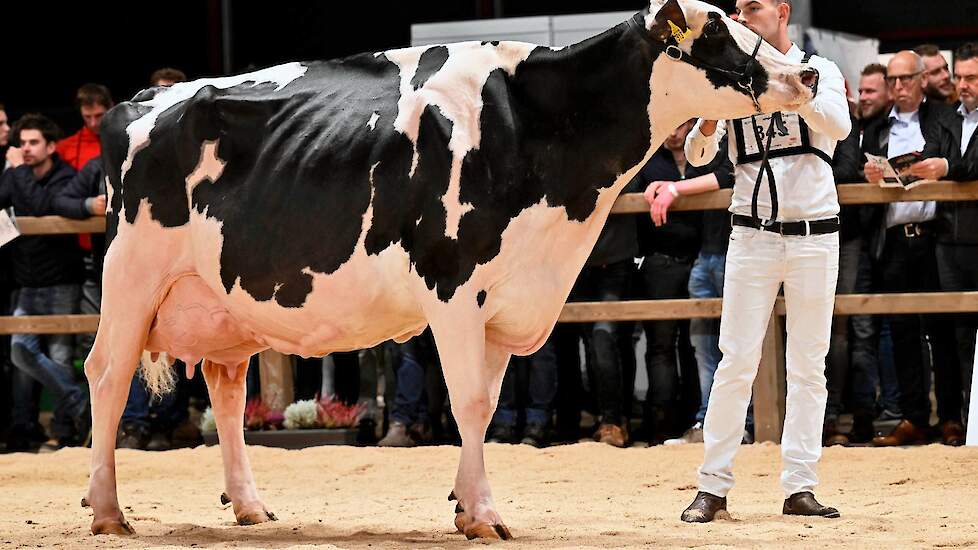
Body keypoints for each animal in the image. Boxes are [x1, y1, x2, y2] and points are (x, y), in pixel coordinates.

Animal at [82, 0, 816, 544]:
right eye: (717, 31)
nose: (808, 76)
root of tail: (144, 98)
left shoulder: (509, 298)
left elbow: (484, 405)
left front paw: (466, 507)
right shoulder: (454, 285)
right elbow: (465, 401)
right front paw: (486, 515)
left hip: (224, 300)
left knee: (227, 389)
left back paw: (250, 505)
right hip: (131, 276)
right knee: (108, 373)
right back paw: (108, 510)